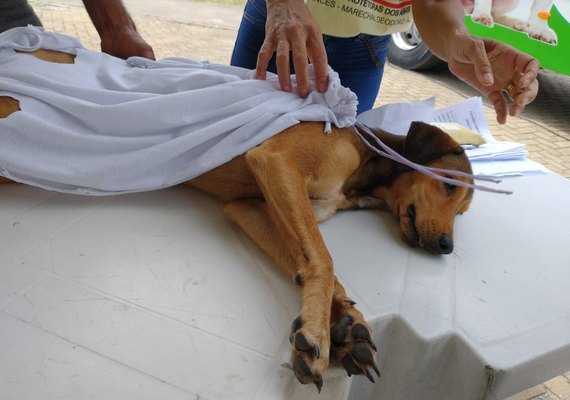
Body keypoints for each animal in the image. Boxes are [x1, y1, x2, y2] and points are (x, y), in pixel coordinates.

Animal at [0, 49, 472, 390]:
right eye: (449, 186)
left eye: (464, 210)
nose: (448, 247)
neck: (363, 168)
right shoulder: (276, 162)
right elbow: (325, 260)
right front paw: (321, 336)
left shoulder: (251, 206)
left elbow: (315, 265)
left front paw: (347, 328)